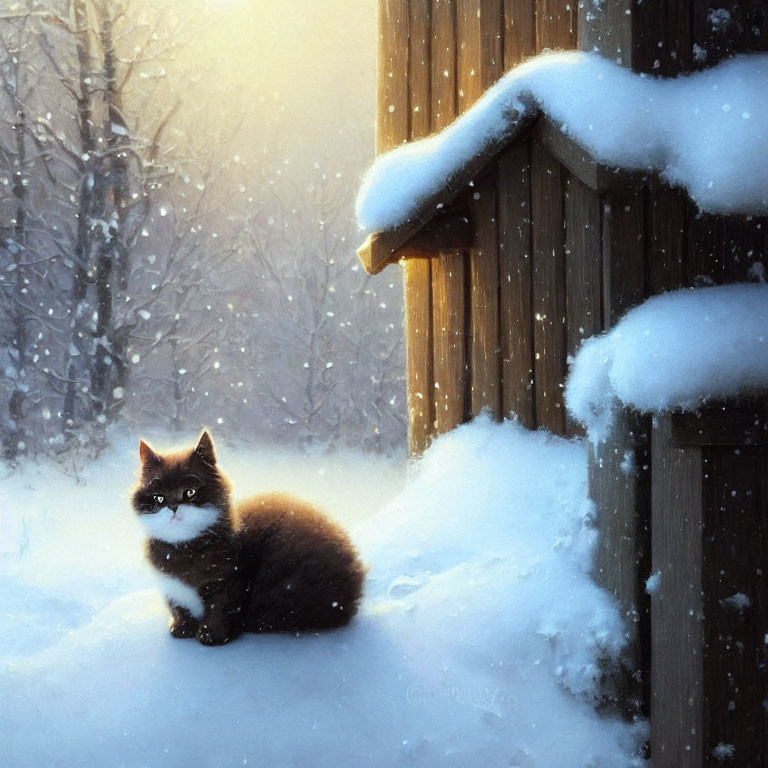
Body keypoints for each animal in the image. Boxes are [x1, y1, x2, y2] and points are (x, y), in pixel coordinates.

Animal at [130, 428, 364, 644]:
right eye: (159, 498)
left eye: (189, 492)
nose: (173, 507)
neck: (183, 548)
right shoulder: (171, 587)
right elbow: (179, 607)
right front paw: (182, 627)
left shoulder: (227, 581)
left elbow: (220, 609)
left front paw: (211, 635)